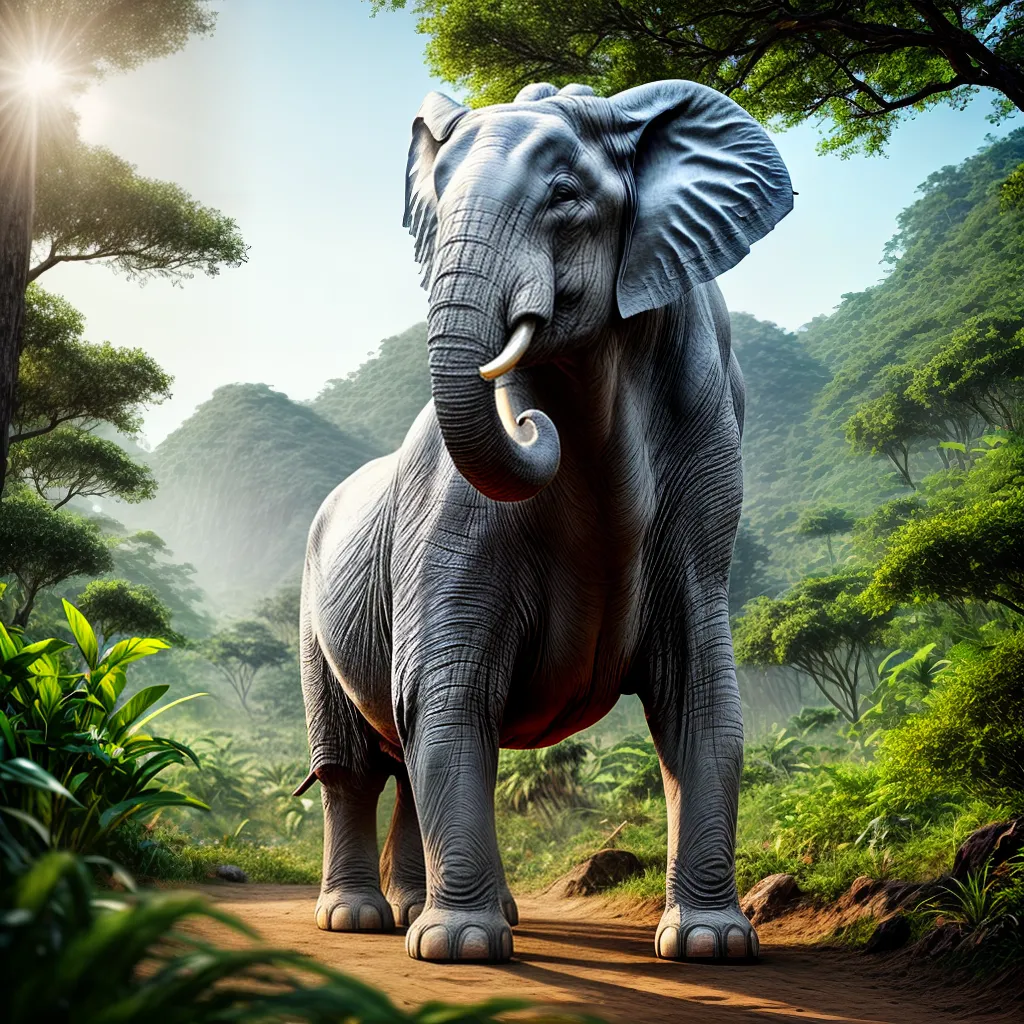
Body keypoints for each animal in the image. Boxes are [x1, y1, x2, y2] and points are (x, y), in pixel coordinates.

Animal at [296, 78, 793, 965]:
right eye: (435, 200)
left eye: (564, 196)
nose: (530, 422)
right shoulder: (445, 509)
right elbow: (447, 685)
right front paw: (460, 948)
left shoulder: (708, 466)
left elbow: (701, 693)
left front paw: (711, 943)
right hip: (311, 622)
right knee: (353, 766)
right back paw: (361, 920)